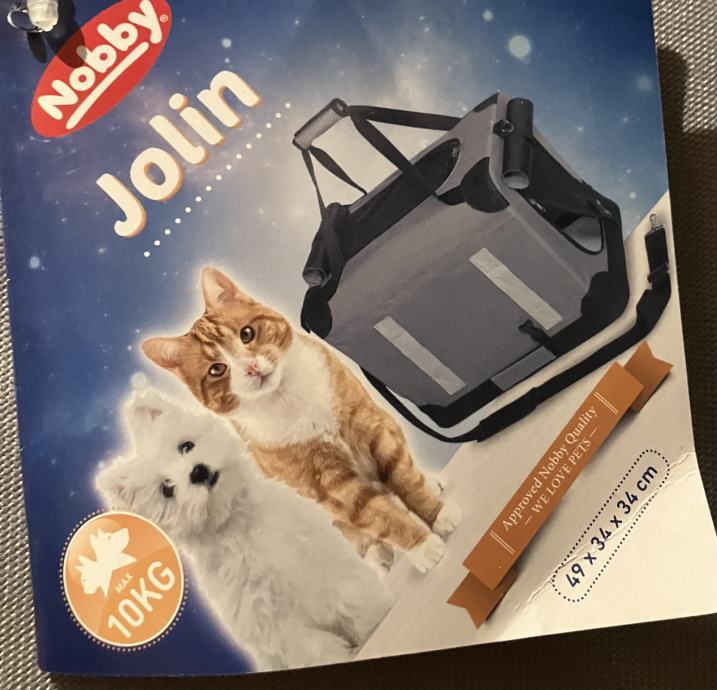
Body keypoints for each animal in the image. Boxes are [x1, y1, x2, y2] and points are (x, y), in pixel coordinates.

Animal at [96, 388, 393, 671]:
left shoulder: (324, 561)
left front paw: (373, 619)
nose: (197, 472)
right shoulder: (270, 619)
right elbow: (309, 645)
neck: (237, 522)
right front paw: (339, 657)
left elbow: (350, 596)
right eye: (167, 489)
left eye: (186, 446)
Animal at [142, 267, 460, 573]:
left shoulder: (372, 427)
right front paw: (421, 546)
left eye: (247, 334)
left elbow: (405, 478)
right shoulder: (332, 485)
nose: (252, 368)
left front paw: (437, 514)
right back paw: (378, 552)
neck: (290, 399)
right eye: (217, 370)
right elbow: (379, 516)